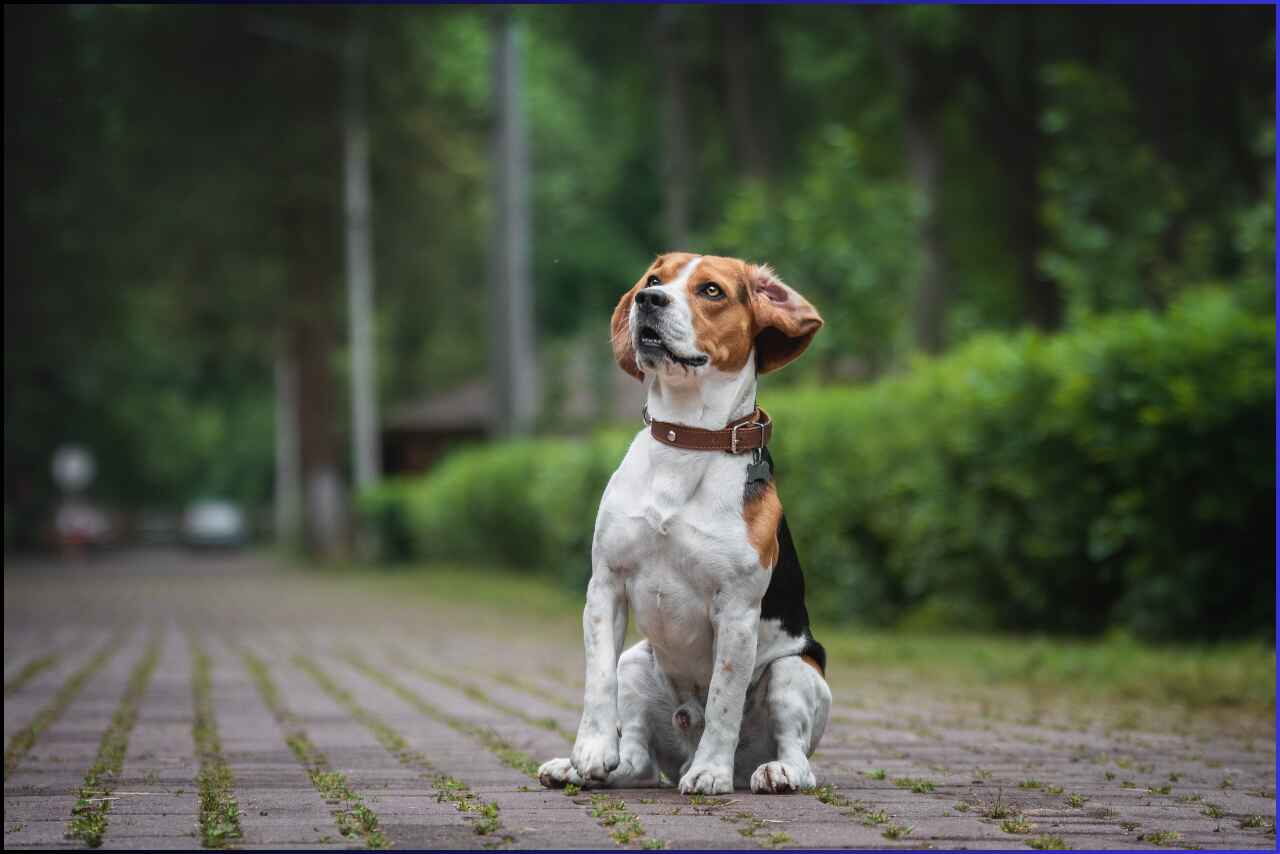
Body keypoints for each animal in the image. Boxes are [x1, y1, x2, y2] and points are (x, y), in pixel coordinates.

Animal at [537, 252, 829, 793]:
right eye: (655, 279)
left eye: (711, 290)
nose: (648, 300)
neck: (688, 437)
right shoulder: (605, 586)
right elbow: (597, 682)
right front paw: (589, 751)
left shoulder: (736, 611)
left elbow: (723, 699)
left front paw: (711, 773)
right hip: (637, 662)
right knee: (636, 757)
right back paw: (588, 769)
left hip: (793, 672)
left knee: (798, 757)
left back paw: (764, 770)